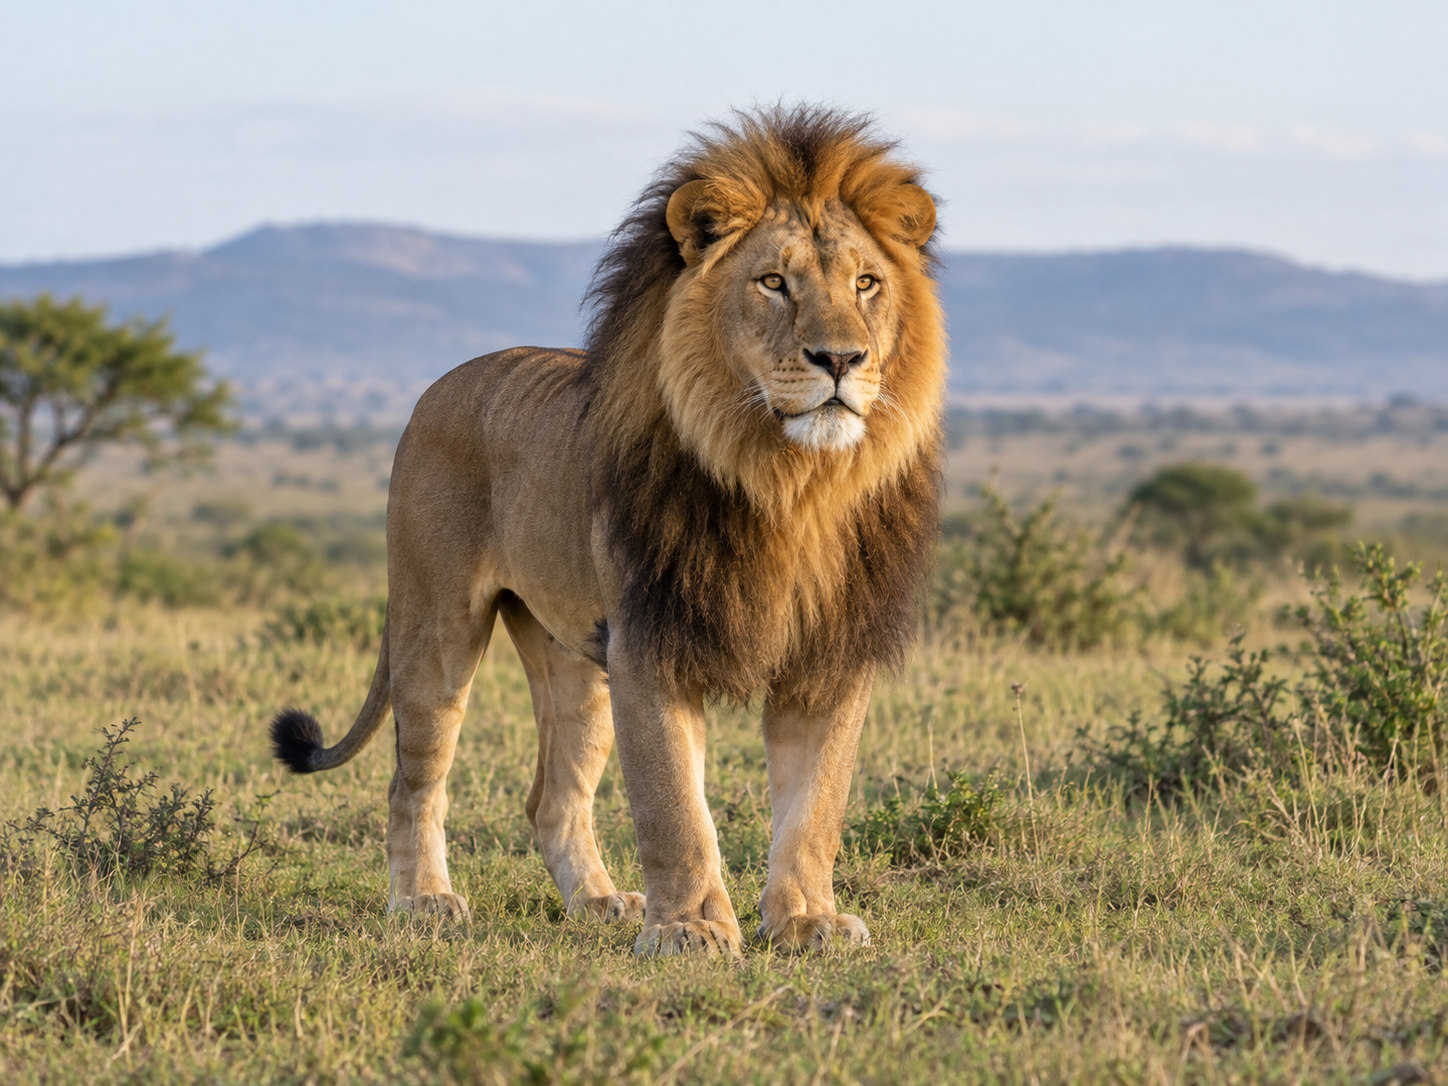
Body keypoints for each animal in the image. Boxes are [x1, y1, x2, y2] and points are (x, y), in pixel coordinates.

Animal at [270, 105, 946, 956]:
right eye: (773, 282)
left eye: (866, 284)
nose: (841, 358)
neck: (791, 485)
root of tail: (440, 386)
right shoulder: (650, 643)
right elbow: (674, 807)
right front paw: (691, 930)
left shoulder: (831, 649)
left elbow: (816, 806)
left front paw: (806, 921)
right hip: (437, 626)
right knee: (413, 777)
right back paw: (424, 900)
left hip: (574, 660)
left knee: (551, 799)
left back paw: (597, 901)